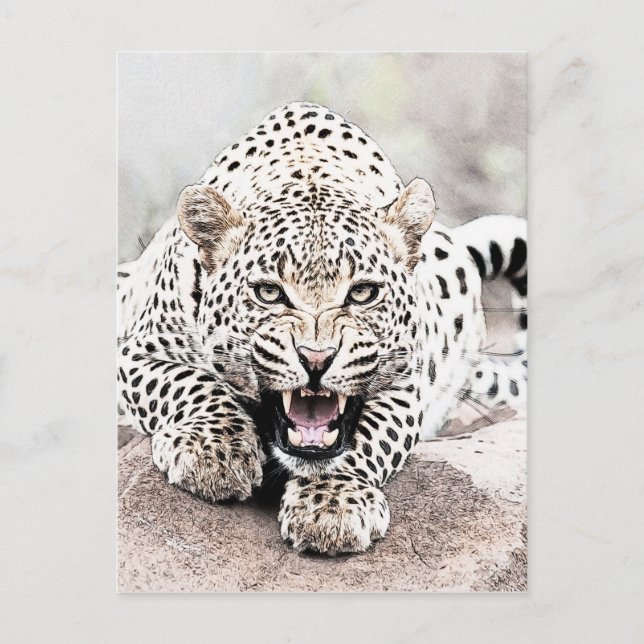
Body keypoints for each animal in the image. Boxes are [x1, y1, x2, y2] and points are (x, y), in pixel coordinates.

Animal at [118, 101, 527, 554]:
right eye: (269, 292)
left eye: (363, 292)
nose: (316, 359)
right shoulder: (134, 351)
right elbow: (192, 385)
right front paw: (216, 451)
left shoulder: (408, 380)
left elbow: (371, 436)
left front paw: (332, 503)